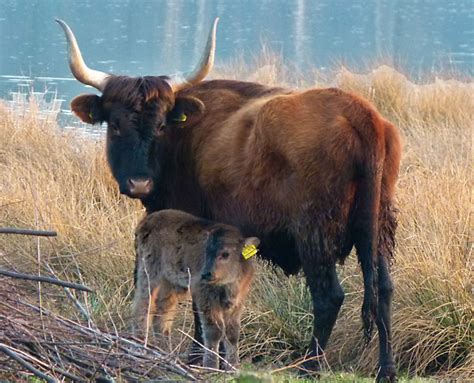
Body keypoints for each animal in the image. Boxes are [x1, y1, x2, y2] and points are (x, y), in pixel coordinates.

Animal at [133, 208, 260, 370]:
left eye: (225, 254)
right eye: (206, 252)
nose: (206, 273)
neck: (228, 285)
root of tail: (146, 221)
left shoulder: (238, 301)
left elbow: (232, 333)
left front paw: (233, 366)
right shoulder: (204, 297)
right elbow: (214, 331)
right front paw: (211, 366)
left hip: (169, 285)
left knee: (162, 316)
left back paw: (165, 353)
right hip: (149, 274)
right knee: (143, 307)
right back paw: (140, 346)